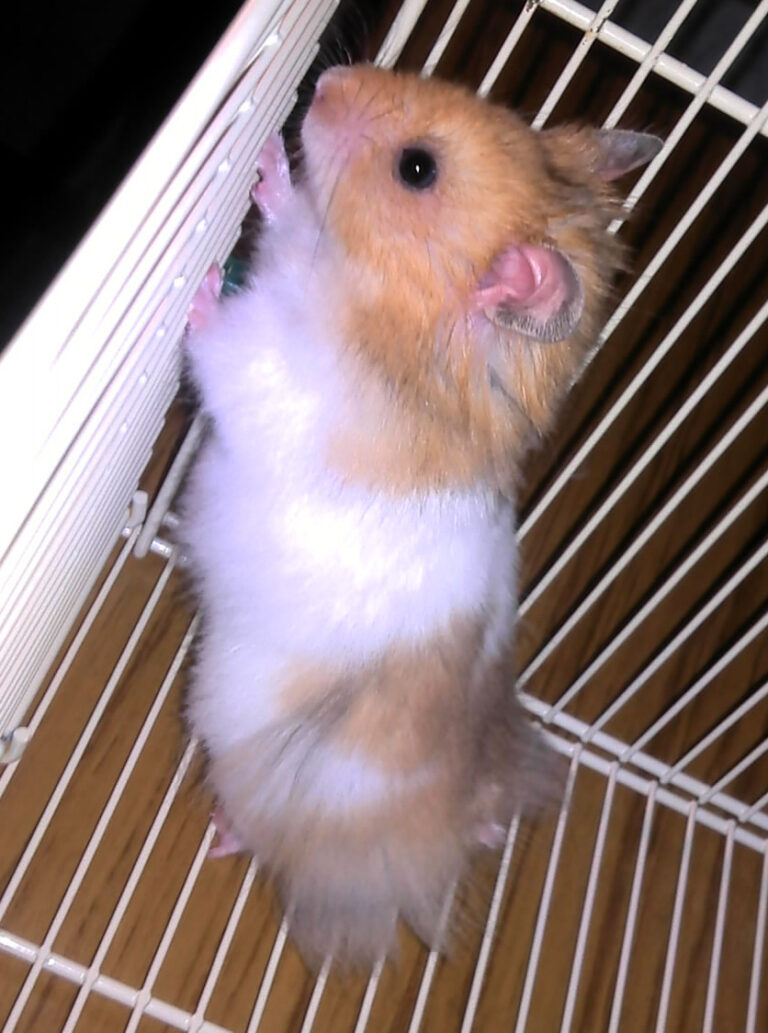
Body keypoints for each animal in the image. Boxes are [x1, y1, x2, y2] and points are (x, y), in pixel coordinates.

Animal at [180, 64, 661, 966]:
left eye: (416, 169)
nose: (327, 78)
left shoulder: (272, 382)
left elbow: (222, 348)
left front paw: (192, 292)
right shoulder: (299, 259)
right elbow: (291, 222)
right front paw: (268, 169)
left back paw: (222, 832)